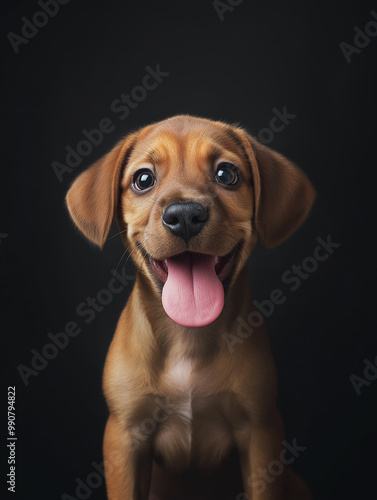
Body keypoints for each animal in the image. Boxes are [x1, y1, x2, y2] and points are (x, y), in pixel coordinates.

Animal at [67, 115, 314, 498]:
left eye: (226, 174)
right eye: (143, 179)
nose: (184, 214)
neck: (187, 337)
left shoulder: (262, 434)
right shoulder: (124, 436)